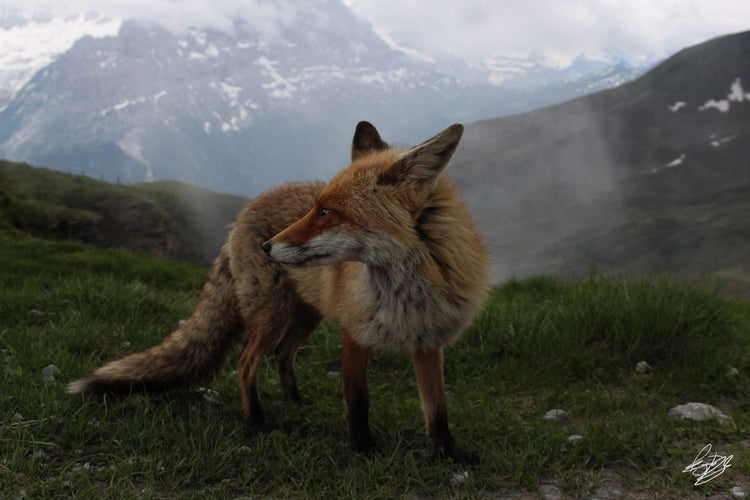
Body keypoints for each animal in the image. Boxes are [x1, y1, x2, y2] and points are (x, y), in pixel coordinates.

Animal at [68, 121, 489, 463]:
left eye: (327, 212)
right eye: (316, 207)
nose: (268, 246)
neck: (406, 292)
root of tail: (242, 214)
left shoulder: (429, 339)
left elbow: (437, 409)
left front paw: (448, 455)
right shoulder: (355, 333)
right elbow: (358, 400)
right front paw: (363, 449)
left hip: (305, 316)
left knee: (283, 355)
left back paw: (296, 401)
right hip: (271, 315)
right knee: (246, 364)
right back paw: (256, 422)